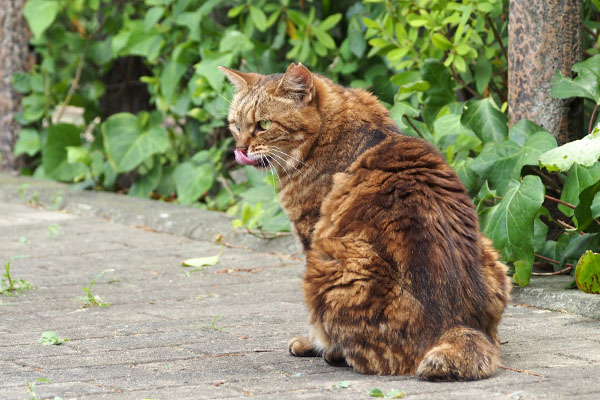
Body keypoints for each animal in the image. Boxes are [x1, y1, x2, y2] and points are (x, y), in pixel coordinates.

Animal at [220, 63, 510, 382]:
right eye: (235, 124)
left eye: (264, 124)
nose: (240, 148)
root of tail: (456, 326)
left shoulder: (310, 233)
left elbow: (315, 325)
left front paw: (313, 344)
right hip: (492, 253)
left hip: (330, 262)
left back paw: (335, 354)